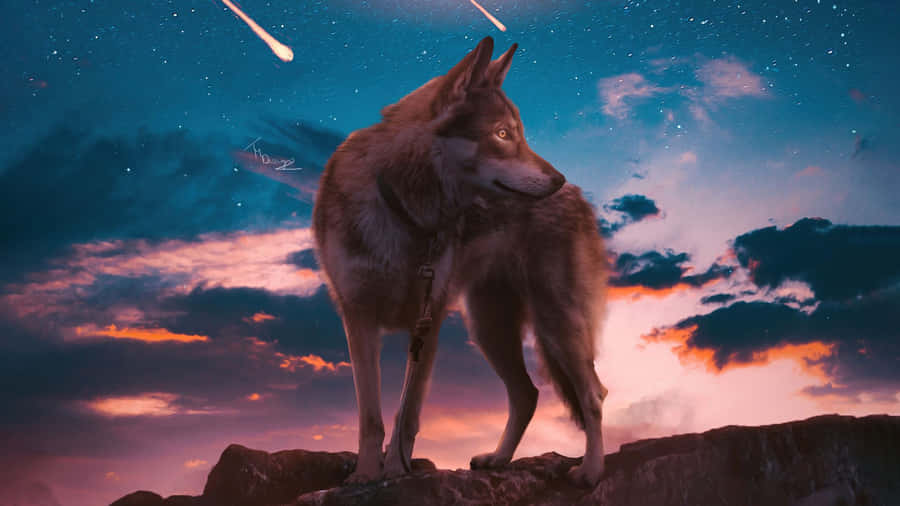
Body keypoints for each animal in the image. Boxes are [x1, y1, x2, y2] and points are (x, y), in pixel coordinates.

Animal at [312, 36, 609, 487]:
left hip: (556, 323)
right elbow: (371, 417)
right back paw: (499, 459)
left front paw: (396, 471)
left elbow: (407, 416)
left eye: (520, 135)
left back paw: (590, 471)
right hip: (489, 328)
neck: (404, 212)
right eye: (502, 134)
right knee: (527, 394)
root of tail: (579, 197)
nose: (557, 180)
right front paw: (365, 476)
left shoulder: (428, 322)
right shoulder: (358, 318)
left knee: (593, 394)